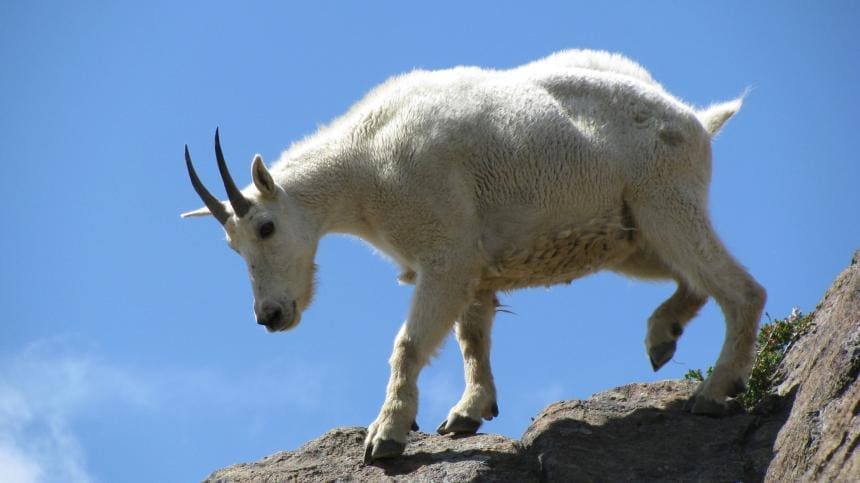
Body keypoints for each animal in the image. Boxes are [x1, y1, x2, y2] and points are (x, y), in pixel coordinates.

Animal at [182, 49, 766, 463]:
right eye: (231, 244)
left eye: (266, 227)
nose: (270, 315)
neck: (364, 166)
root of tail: (697, 121)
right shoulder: (471, 265)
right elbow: (472, 337)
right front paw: (468, 412)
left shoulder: (446, 255)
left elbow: (410, 344)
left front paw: (386, 436)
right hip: (632, 235)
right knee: (694, 280)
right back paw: (663, 337)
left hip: (664, 201)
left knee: (740, 288)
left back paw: (714, 389)